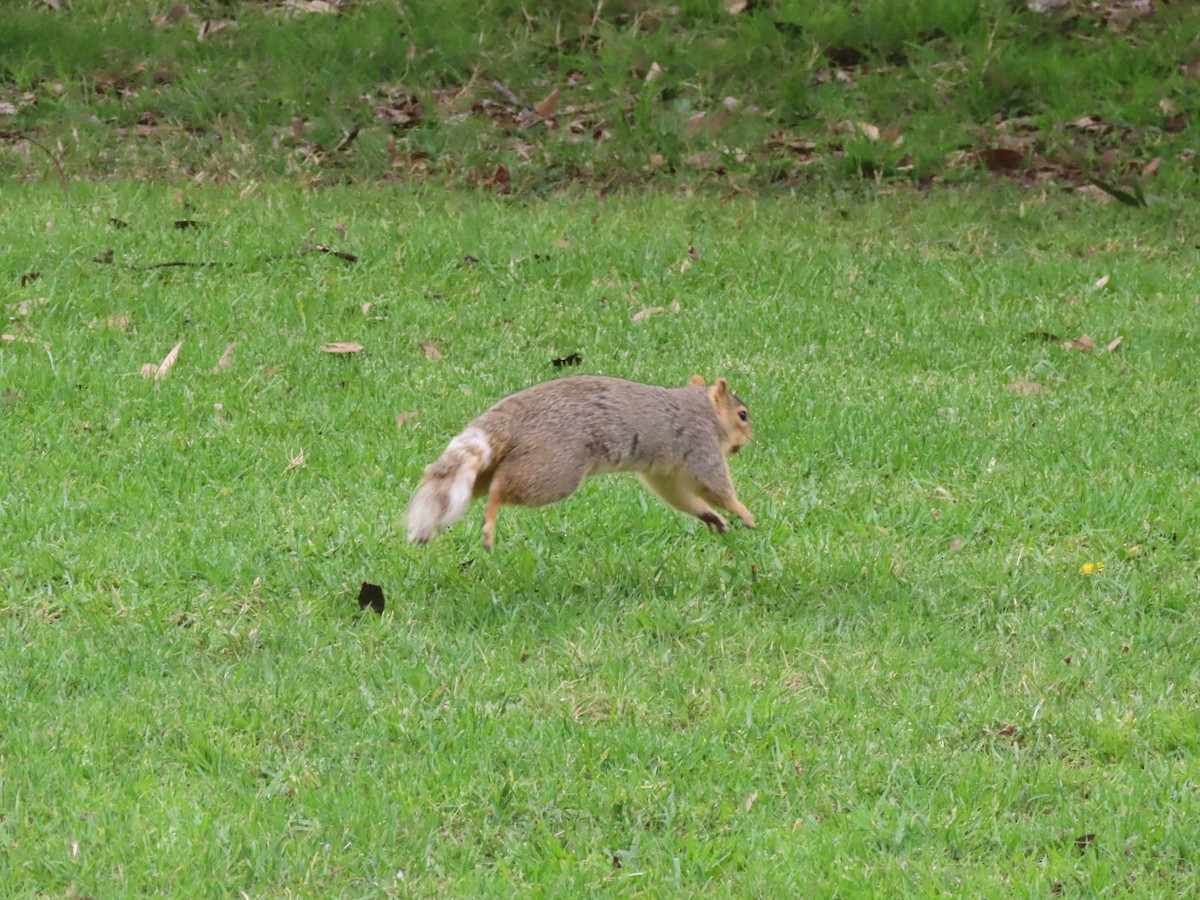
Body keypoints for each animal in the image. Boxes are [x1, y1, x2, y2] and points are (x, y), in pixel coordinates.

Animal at [406, 374, 757, 549]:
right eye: (742, 415)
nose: (752, 437)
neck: (703, 411)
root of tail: (517, 416)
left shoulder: (664, 472)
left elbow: (680, 497)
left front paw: (712, 518)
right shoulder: (701, 447)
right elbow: (716, 487)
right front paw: (745, 513)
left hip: (502, 465)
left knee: (474, 483)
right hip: (554, 470)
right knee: (500, 488)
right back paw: (489, 523)